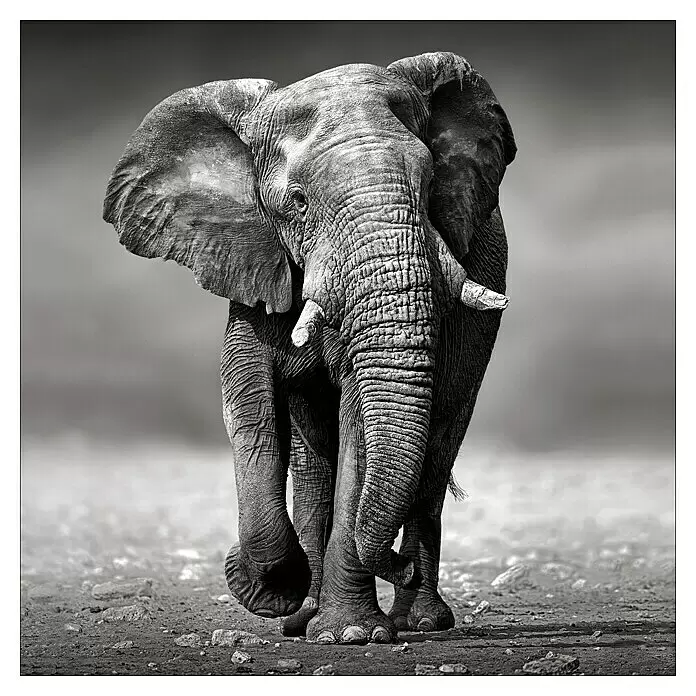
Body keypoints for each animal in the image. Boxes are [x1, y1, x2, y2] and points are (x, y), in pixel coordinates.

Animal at [102, 51, 516, 645]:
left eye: (429, 183)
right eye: (297, 202)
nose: (397, 566)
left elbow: (360, 423)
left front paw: (354, 634)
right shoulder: (254, 261)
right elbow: (248, 403)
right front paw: (276, 591)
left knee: (438, 442)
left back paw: (419, 621)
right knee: (315, 458)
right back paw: (305, 616)